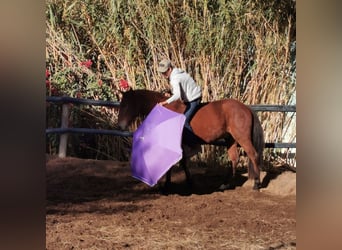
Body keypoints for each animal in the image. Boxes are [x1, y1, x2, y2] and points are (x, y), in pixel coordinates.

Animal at [117, 89, 264, 190]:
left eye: (126, 105)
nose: (120, 125)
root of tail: (246, 108)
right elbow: (181, 161)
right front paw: (185, 181)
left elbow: (178, 161)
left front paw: (170, 184)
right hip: (230, 139)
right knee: (235, 158)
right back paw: (226, 184)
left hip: (242, 138)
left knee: (253, 155)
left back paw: (256, 184)